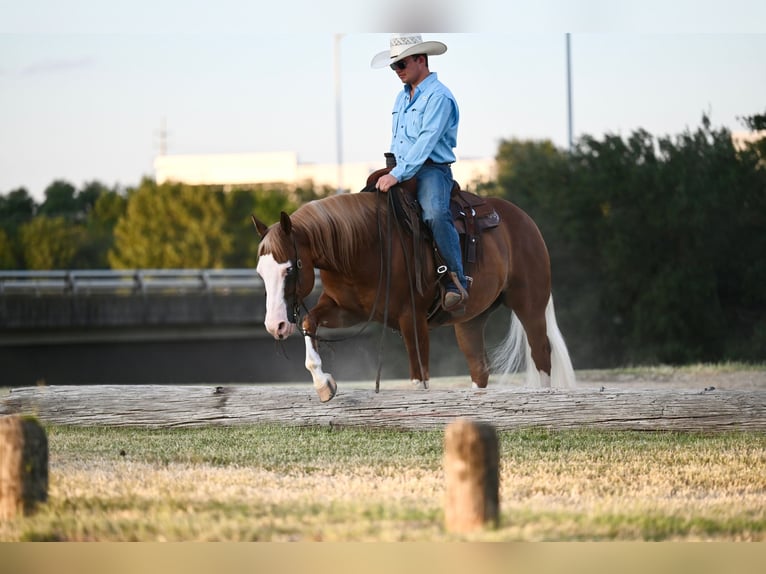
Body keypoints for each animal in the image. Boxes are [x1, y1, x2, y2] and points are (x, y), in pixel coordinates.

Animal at [252, 183, 575, 403]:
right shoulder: (346, 310)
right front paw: (323, 384)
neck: (364, 245)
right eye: (261, 273)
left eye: (290, 268)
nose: (275, 325)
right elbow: (310, 323)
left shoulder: (412, 319)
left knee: (541, 354)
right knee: (479, 368)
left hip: (530, 305)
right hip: (471, 320)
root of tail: (523, 220)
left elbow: (419, 380)